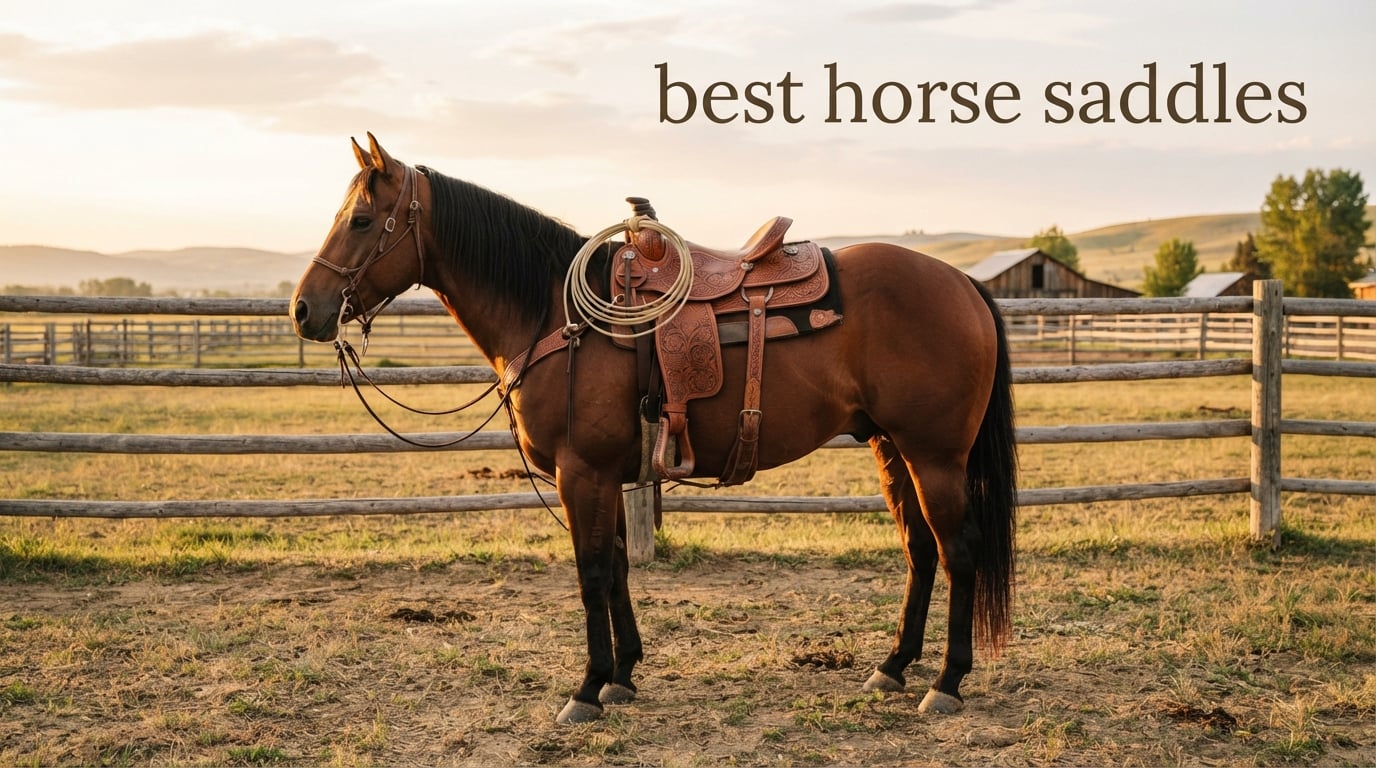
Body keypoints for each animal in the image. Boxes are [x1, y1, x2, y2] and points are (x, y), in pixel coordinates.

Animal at [290, 133, 1018, 725]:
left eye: (361, 220)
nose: (302, 310)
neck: (554, 313)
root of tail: (963, 284)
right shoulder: (605, 475)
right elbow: (615, 567)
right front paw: (622, 675)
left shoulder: (582, 472)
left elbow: (590, 573)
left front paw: (586, 689)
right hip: (891, 449)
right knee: (919, 549)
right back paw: (893, 667)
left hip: (934, 455)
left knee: (958, 551)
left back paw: (947, 682)